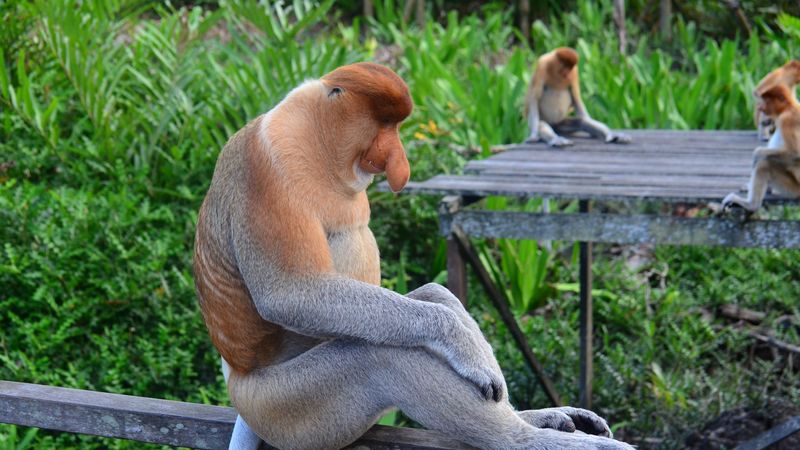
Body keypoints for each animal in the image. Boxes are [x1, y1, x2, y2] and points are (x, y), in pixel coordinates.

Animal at [194, 62, 633, 450]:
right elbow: (289, 294)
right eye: (384, 126)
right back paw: (528, 438)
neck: (314, 137)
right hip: (286, 408)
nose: (399, 159)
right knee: (379, 356)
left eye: (395, 127)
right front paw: (465, 346)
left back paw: (540, 417)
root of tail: (237, 381)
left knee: (429, 297)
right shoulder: (265, 168)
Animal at [722, 84, 800, 213]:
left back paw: (751, 205)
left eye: (767, 100)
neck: (787, 108)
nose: (760, 107)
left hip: (793, 188)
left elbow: (795, 153)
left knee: (764, 165)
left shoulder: (787, 120)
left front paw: (757, 153)